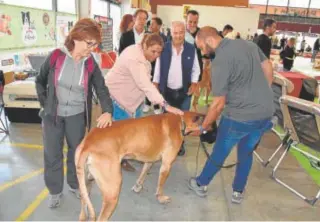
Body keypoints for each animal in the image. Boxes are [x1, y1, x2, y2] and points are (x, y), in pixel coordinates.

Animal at [74, 112, 202, 221]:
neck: (181, 120)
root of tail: (88, 144)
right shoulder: (166, 165)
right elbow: (160, 186)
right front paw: (161, 198)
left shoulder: (149, 160)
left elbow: (143, 173)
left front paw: (137, 186)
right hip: (112, 191)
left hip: (86, 184)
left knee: (83, 206)